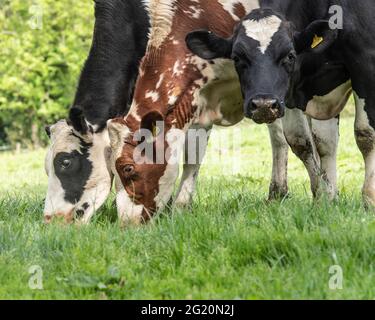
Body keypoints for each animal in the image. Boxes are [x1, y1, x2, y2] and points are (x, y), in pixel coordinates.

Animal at [108, 0, 350, 225]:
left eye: (128, 168)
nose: (126, 223)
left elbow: (301, 141)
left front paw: (322, 195)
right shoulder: (199, 98)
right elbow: (193, 154)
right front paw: (180, 208)